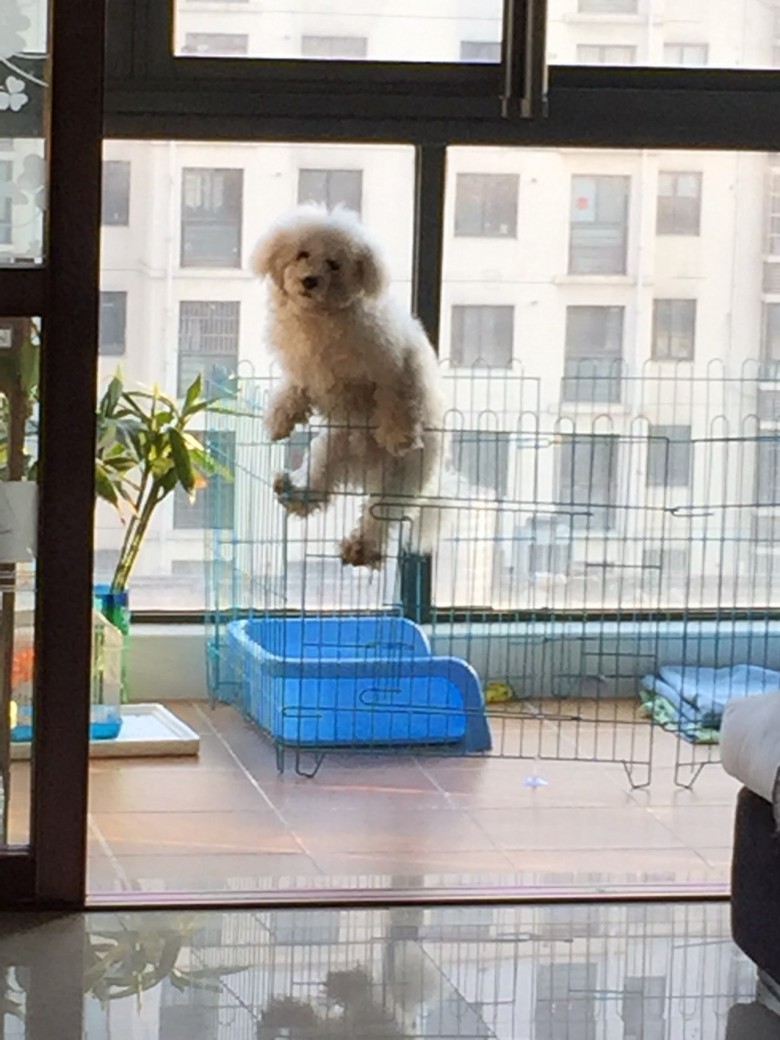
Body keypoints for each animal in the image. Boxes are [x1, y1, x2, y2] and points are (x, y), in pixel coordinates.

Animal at [251, 205, 445, 569]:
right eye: (302, 254)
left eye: (333, 264)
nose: (309, 280)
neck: (323, 318)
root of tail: (364, 468)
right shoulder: (305, 371)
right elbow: (292, 391)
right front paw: (279, 420)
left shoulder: (394, 364)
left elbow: (395, 398)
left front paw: (397, 435)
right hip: (330, 450)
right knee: (319, 487)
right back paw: (292, 492)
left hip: (399, 481)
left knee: (379, 518)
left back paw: (360, 548)